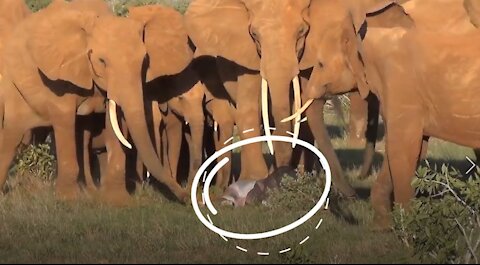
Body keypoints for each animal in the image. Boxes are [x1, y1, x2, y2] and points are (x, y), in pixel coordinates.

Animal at [0, 0, 191, 202]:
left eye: (144, 62)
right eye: (102, 61)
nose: (186, 197)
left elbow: (115, 120)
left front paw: (118, 201)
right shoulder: (61, 74)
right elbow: (64, 118)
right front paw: (68, 199)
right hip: (13, 85)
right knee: (13, 136)